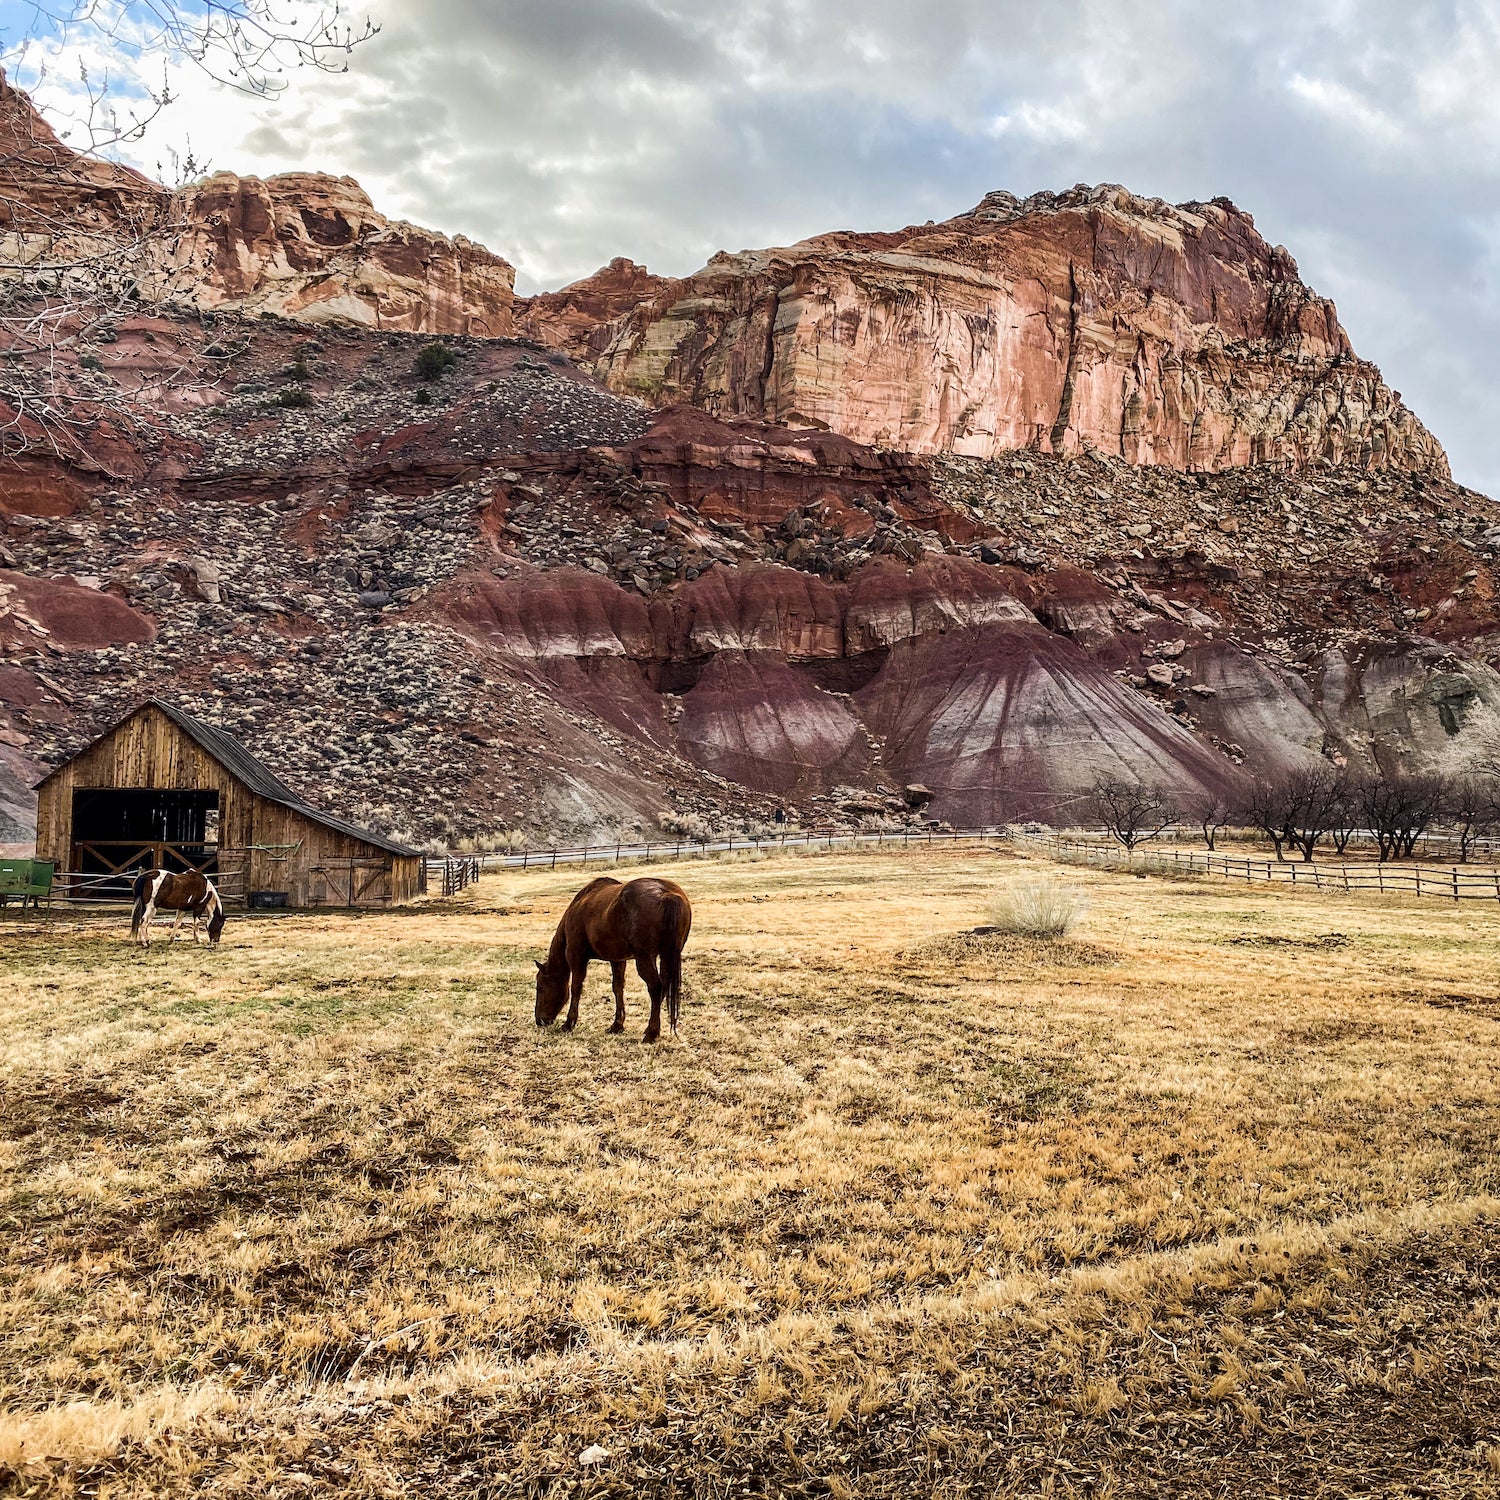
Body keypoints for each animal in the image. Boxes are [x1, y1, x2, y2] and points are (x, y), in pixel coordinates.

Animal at [537, 876, 693, 1044]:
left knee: (656, 987)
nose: (539, 1020)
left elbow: (576, 988)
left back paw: (651, 1032)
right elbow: (618, 988)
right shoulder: (617, 960)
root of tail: (666, 894)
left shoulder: (576, 956)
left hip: (644, 958)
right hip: (664, 955)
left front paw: (569, 1023)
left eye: (540, 987)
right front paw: (617, 1024)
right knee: (663, 986)